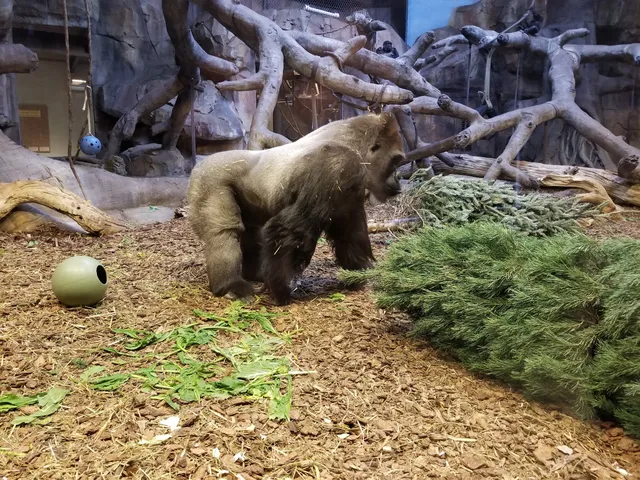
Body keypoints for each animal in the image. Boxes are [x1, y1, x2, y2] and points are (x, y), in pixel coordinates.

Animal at [187, 112, 406, 306]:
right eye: (395, 161)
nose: (398, 178)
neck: (353, 142)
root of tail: (199, 163)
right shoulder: (338, 164)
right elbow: (288, 228)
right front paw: (281, 289)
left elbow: (348, 231)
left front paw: (358, 273)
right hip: (209, 180)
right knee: (224, 232)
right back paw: (231, 285)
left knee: (252, 231)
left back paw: (255, 274)